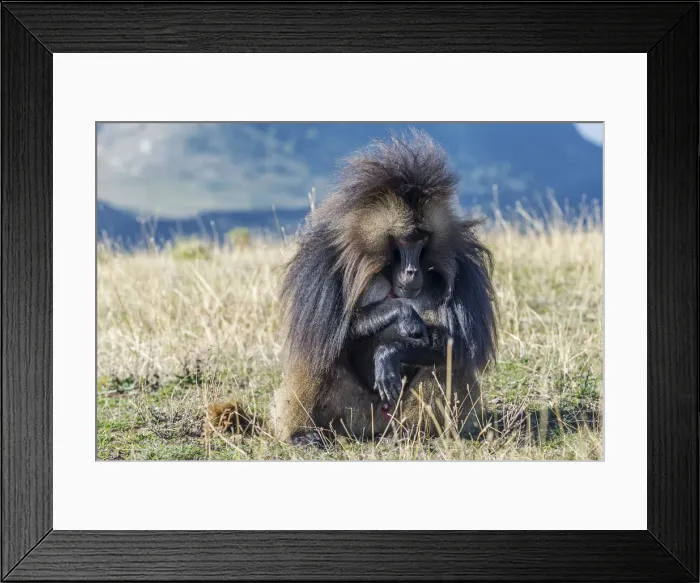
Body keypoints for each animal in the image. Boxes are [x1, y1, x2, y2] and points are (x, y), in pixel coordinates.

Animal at [271, 128, 498, 448]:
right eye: (404, 240)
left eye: (422, 239)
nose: (412, 272)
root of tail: (378, 427)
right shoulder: (324, 260)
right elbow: (329, 330)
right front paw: (400, 313)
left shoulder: (465, 269)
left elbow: (459, 343)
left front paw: (389, 353)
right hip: (352, 415)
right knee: (319, 347)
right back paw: (302, 434)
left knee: (445, 355)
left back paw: (411, 434)